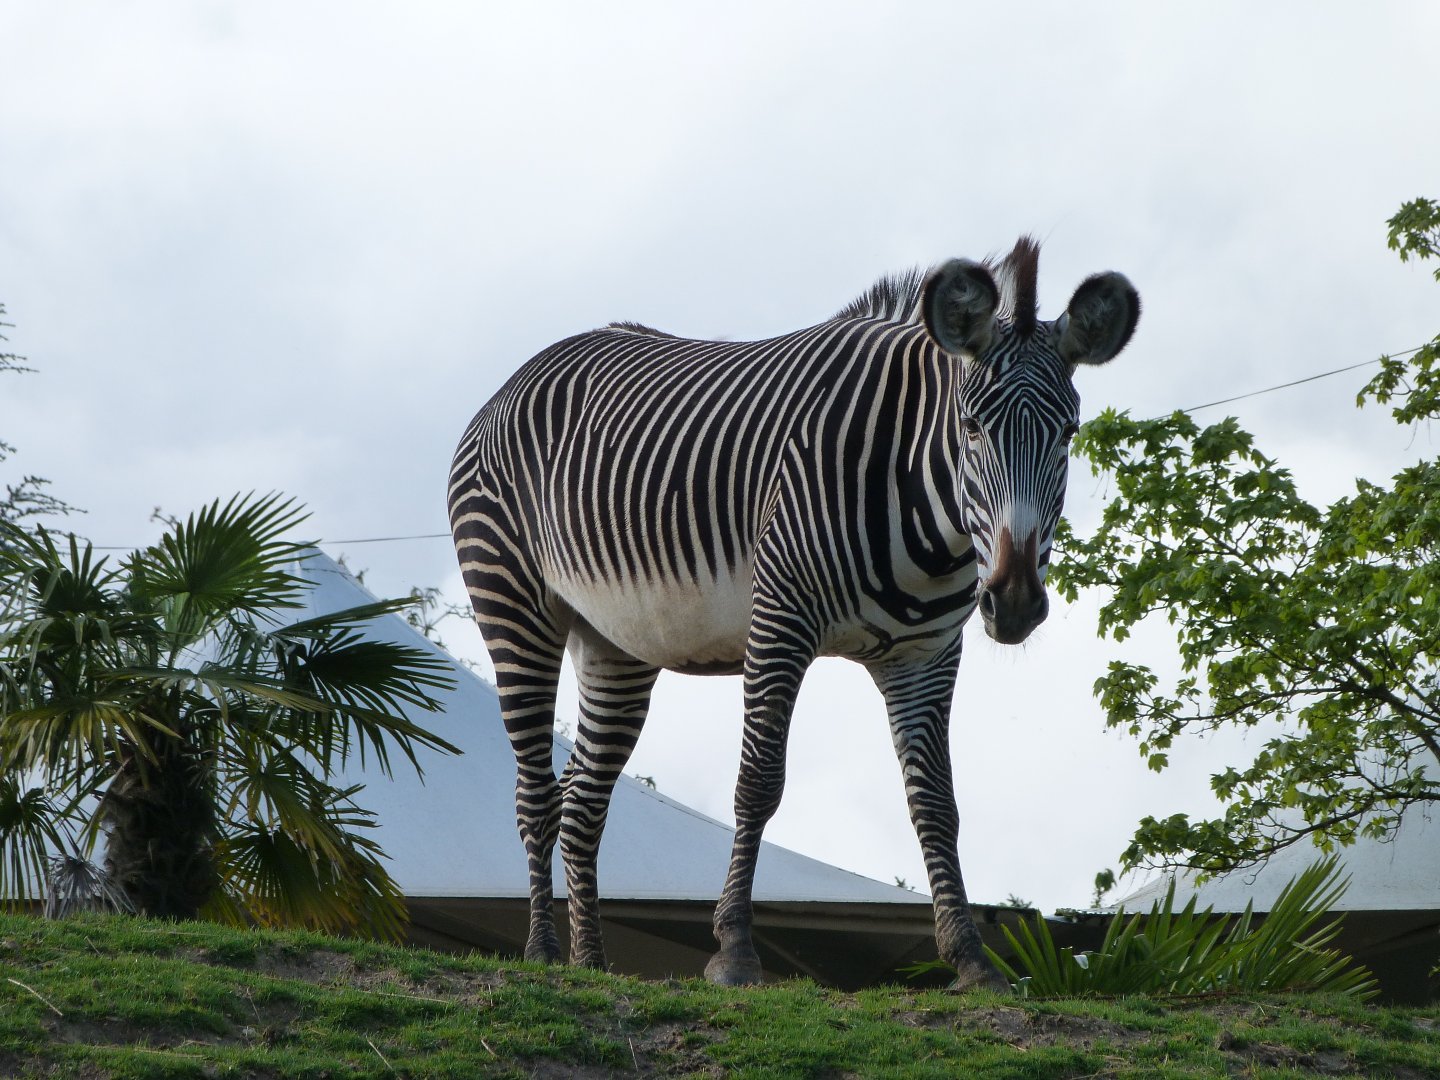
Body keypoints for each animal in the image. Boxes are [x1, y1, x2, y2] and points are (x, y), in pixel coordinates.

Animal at [448, 237, 1139, 988]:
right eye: (971, 428)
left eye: (1068, 433)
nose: (1013, 601)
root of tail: (519, 376)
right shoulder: (779, 621)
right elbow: (759, 783)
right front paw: (733, 950)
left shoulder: (926, 655)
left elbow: (935, 802)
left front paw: (970, 959)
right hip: (515, 607)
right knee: (536, 795)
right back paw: (544, 952)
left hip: (615, 644)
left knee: (581, 804)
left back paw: (592, 965)